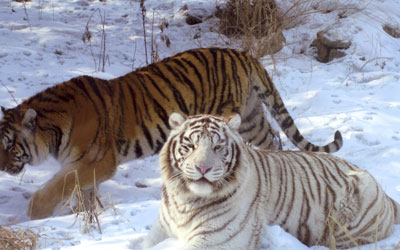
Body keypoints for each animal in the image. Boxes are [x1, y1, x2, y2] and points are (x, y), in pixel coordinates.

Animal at [0, 47, 342, 219]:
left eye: (8, 144)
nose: (1, 167)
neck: (51, 131)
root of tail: (243, 53)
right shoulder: (87, 165)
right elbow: (83, 191)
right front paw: (87, 214)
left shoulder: (96, 160)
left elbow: (58, 186)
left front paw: (34, 214)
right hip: (251, 118)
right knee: (273, 138)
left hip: (229, 119)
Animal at [144, 113, 400, 250]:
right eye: (190, 146)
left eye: (217, 147)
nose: (203, 168)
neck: (185, 199)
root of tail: (386, 195)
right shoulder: (160, 230)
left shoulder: (216, 240)